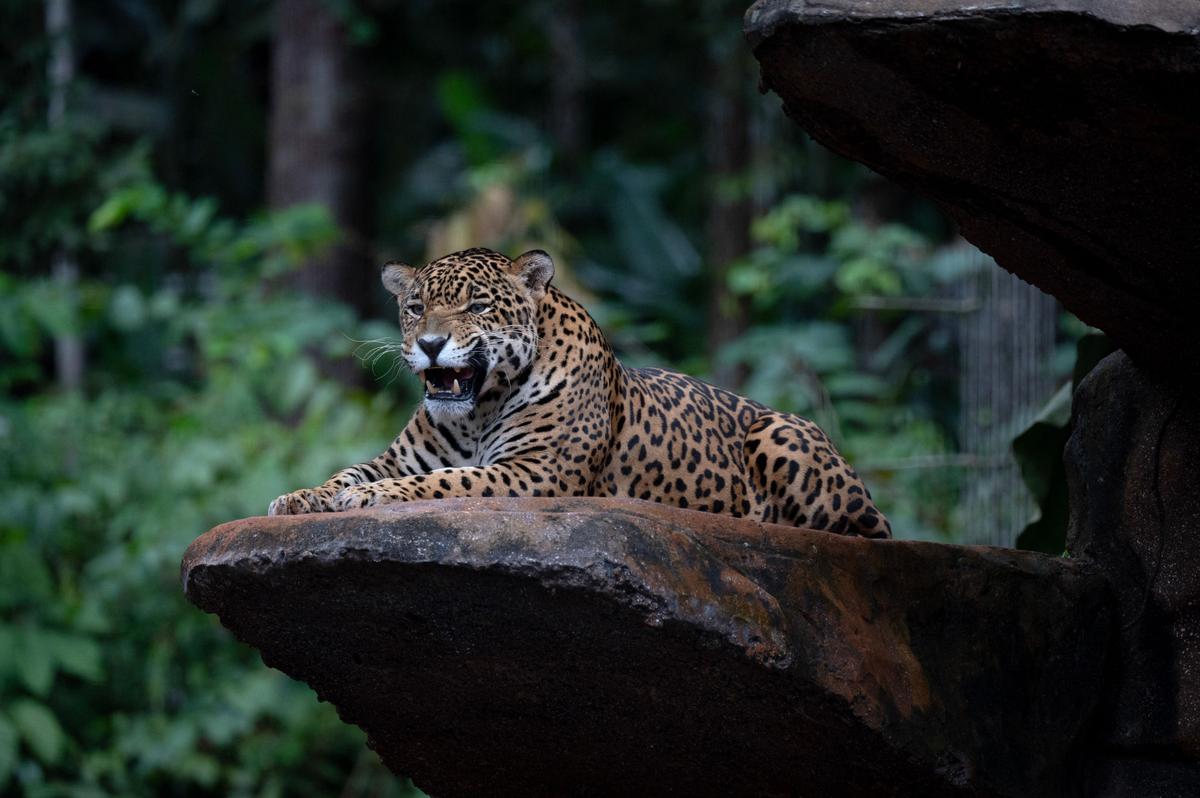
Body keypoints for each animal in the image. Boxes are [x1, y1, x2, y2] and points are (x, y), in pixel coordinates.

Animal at [268, 247, 891, 538]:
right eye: (416, 306)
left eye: (477, 306)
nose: (429, 342)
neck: (475, 412)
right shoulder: (397, 457)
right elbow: (350, 472)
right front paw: (299, 498)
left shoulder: (535, 473)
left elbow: (445, 482)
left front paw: (369, 499)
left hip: (782, 432)